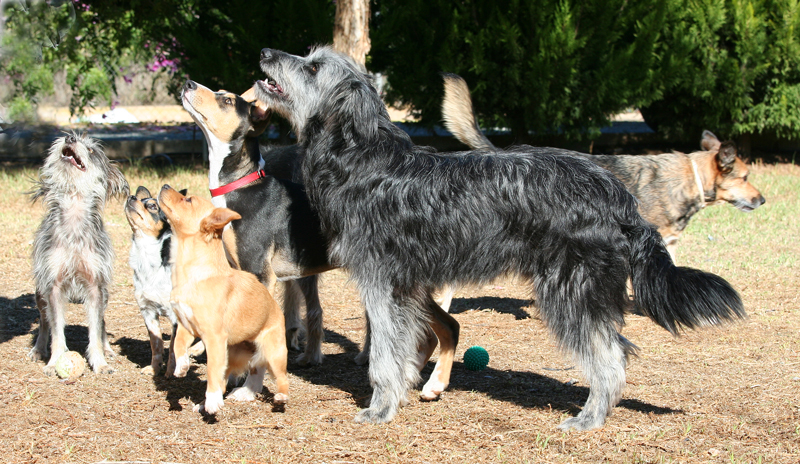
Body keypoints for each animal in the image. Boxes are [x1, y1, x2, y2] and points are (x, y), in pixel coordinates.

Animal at [28, 132, 128, 376]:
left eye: (91, 150)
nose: (69, 138)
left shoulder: (95, 286)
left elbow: (95, 330)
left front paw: (100, 362)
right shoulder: (52, 286)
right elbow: (56, 331)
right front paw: (54, 361)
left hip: (105, 294)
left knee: (102, 324)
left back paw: (107, 349)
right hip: (40, 293)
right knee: (44, 322)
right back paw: (38, 350)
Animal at [158, 183, 290, 416]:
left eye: (188, 200)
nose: (165, 185)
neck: (192, 274)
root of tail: (274, 306)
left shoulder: (213, 338)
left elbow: (211, 370)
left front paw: (211, 402)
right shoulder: (186, 326)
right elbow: (178, 346)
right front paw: (182, 366)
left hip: (274, 353)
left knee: (282, 378)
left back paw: (281, 396)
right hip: (232, 356)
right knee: (224, 378)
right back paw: (205, 402)